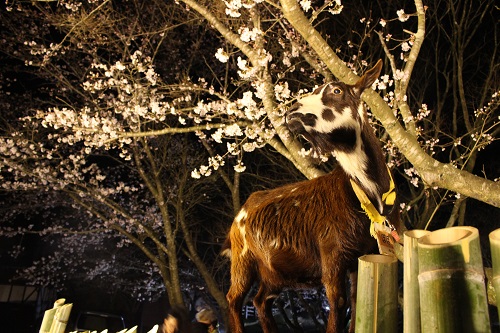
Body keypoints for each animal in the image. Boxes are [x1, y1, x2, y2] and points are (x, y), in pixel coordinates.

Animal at [221, 60, 400, 332]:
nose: (292, 110)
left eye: (337, 90)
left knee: (261, 300)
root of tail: (242, 211)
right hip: (242, 259)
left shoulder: (361, 256)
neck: (369, 194)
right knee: (234, 298)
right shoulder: (332, 253)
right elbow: (337, 303)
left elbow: (357, 302)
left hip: (273, 272)